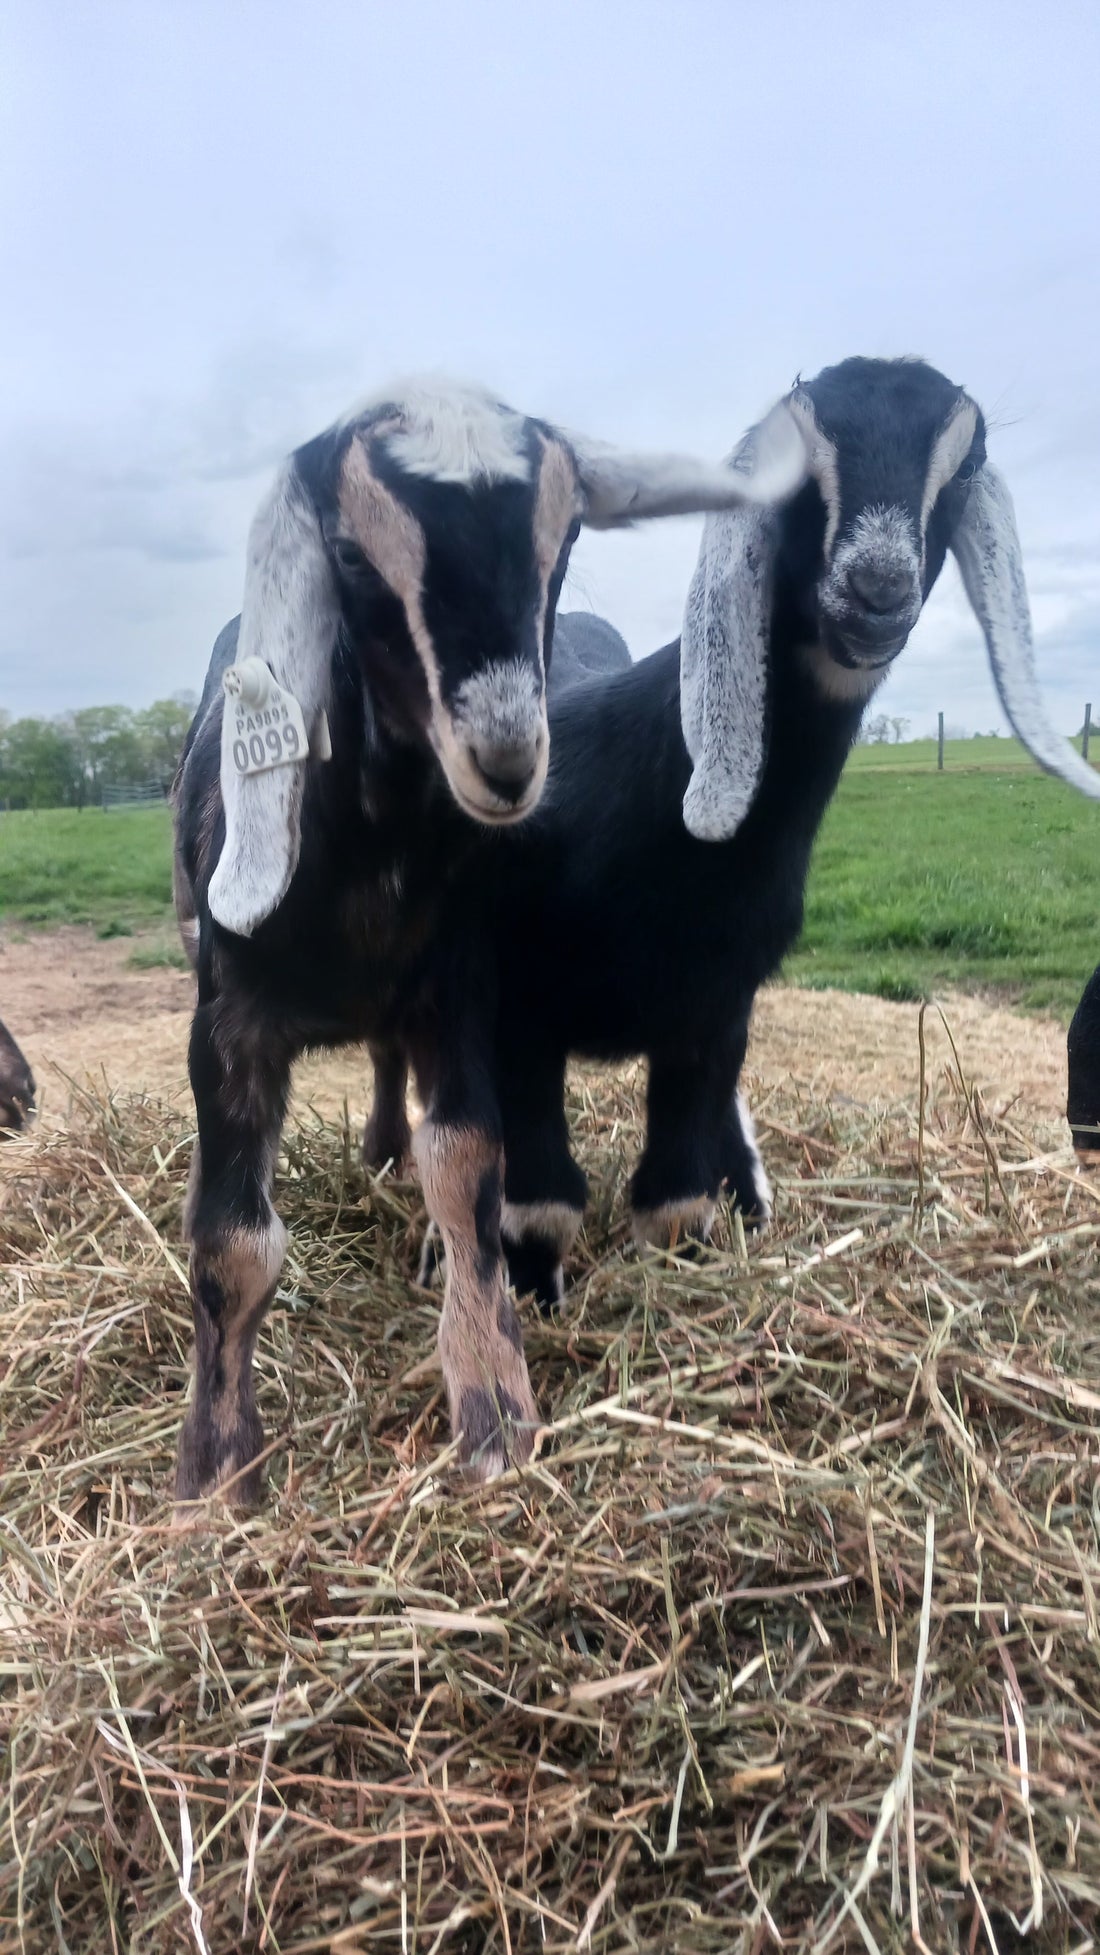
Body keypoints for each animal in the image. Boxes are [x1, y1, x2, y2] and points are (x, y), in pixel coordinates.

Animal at [171, 377, 807, 1500]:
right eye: (348, 558)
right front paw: (216, 1470)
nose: (507, 760)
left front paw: (496, 1410)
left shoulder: (459, 992)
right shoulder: (228, 1019)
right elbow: (233, 1243)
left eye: (564, 539)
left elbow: (468, 1168)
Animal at [472, 356, 1100, 1304]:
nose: (878, 591)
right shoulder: (517, 1007)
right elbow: (540, 1205)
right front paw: (531, 1300)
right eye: (795, 471)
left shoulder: (715, 1008)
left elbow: (678, 1199)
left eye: (962, 468)